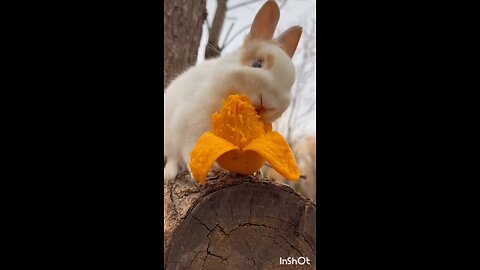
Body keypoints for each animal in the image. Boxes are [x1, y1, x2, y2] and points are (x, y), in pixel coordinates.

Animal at [163, 0, 302, 182]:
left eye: (290, 84)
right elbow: (191, 149)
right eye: (257, 64)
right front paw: (210, 170)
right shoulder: (190, 124)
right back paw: (169, 174)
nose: (268, 105)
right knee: (173, 156)